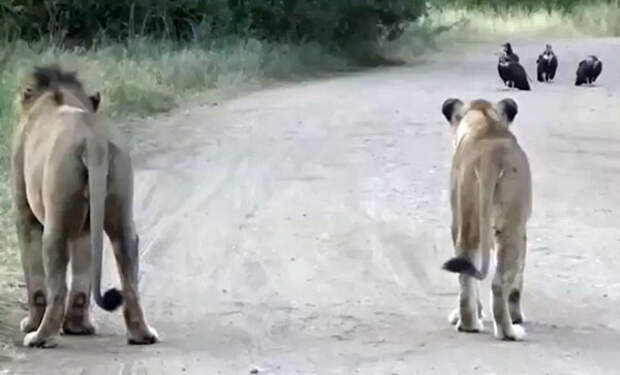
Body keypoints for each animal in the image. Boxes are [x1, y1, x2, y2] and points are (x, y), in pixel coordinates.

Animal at [11, 65, 157, 350]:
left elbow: (35, 279)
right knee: (129, 277)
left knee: (57, 289)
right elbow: (83, 272)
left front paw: (31, 323)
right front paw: (77, 327)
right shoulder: (85, 226)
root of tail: (93, 140)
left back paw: (40, 337)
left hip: (56, 224)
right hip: (120, 211)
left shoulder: (25, 216)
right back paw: (142, 335)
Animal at [440, 98, 532, 342]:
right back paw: (511, 331)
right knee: (499, 284)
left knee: (465, 270)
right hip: (511, 225)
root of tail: (489, 157)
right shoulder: (523, 229)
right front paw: (517, 316)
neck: (485, 122)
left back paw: (467, 324)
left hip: (467, 220)